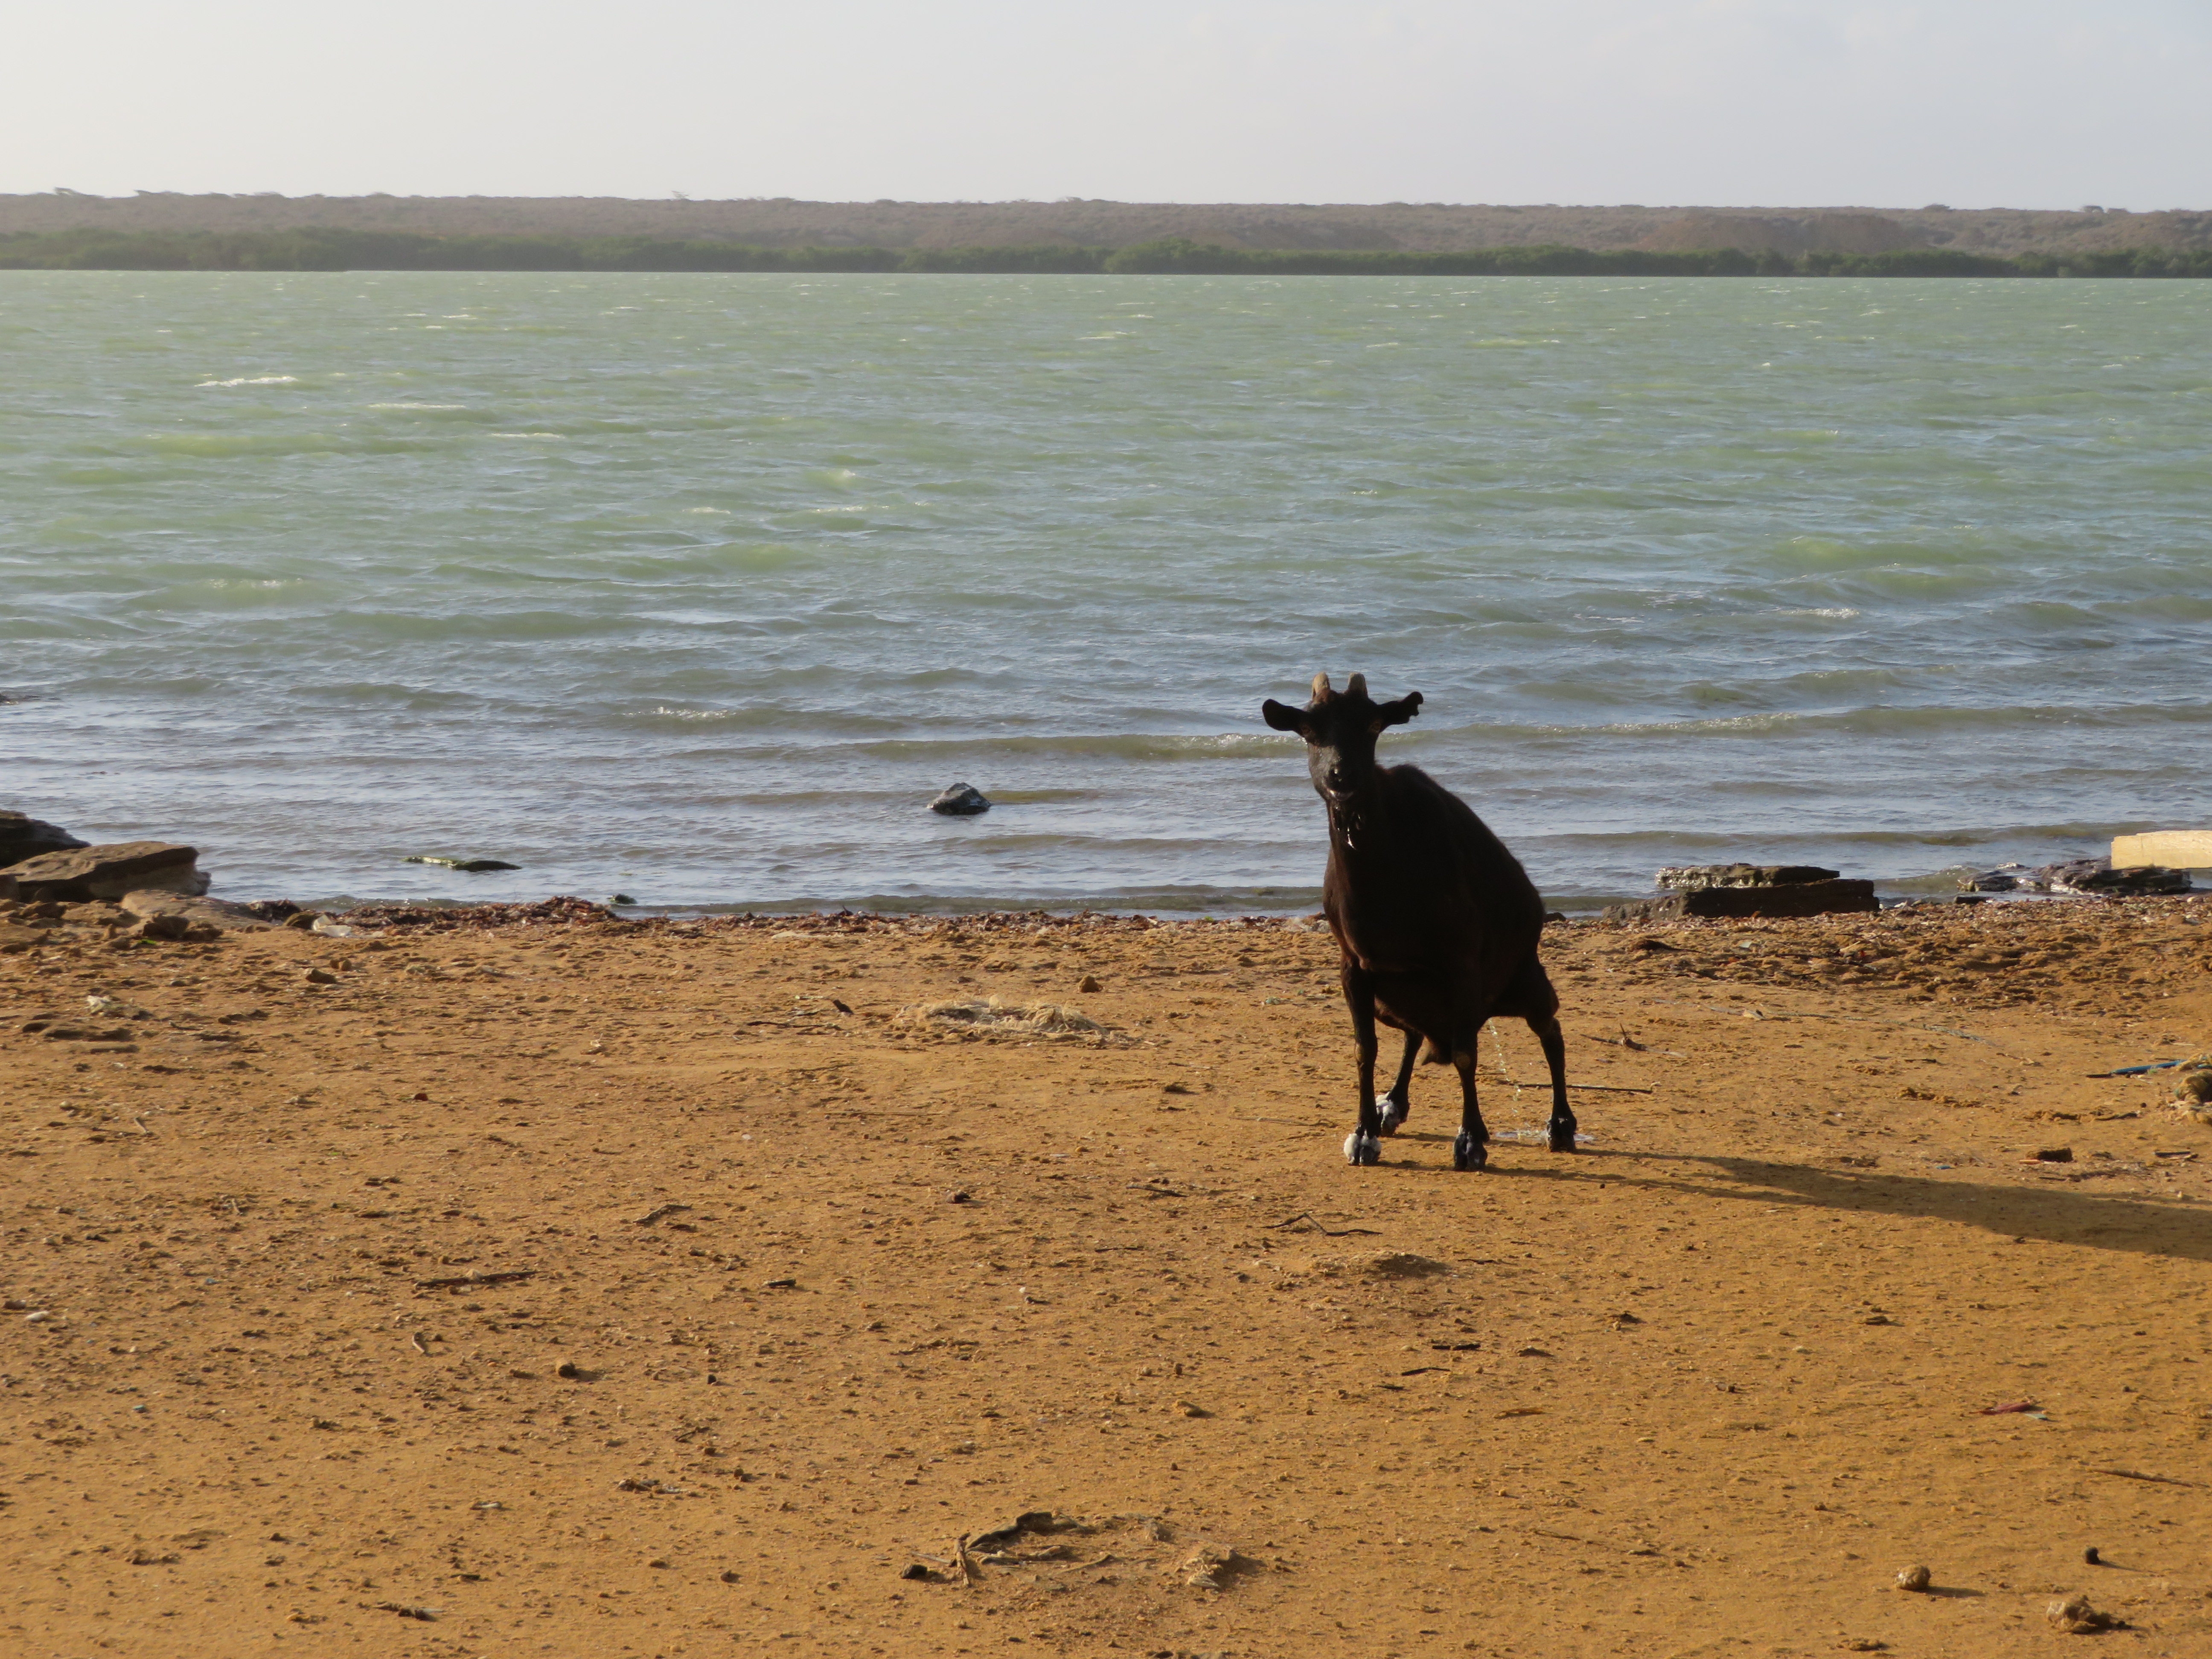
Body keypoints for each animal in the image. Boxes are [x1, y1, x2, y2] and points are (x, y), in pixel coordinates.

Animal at [1262, 672, 1573, 1169]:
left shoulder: (1461, 963)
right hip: (1394, 1000)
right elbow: (1364, 1049)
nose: (1341, 776)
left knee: (1550, 1030)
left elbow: (1467, 1055)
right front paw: (1364, 1133)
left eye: (1373, 725)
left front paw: (1470, 1142)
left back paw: (1561, 1125)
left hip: (1525, 982)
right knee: (1413, 1034)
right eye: (1308, 730)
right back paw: (1392, 1104)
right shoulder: (1354, 966)